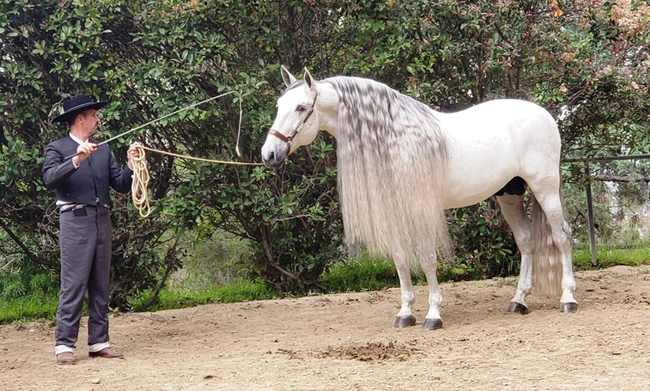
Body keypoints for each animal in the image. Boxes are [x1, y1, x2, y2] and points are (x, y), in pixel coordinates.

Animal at [260, 67, 576, 330]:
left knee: (562, 236)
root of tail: (545, 114)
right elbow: (400, 260)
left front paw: (433, 314)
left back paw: (568, 299)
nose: (269, 155)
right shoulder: (393, 211)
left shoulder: (420, 209)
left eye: (301, 107)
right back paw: (518, 301)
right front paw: (405, 313)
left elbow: (426, 259)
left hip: (545, 188)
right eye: (278, 106)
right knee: (526, 241)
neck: (395, 140)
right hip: (509, 195)